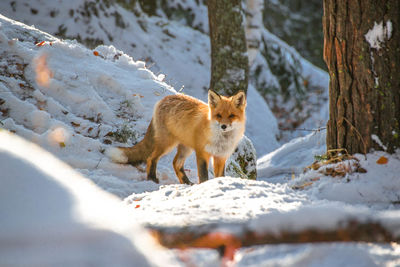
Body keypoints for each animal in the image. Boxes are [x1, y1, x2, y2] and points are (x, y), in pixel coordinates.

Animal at [106, 91, 245, 185]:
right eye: (219, 115)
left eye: (232, 115)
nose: (223, 126)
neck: (221, 140)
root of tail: (164, 99)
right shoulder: (202, 153)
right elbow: (203, 176)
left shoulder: (221, 156)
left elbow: (220, 176)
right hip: (167, 144)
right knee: (151, 158)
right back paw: (152, 179)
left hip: (186, 148)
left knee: (176, 163)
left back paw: (186, 183)